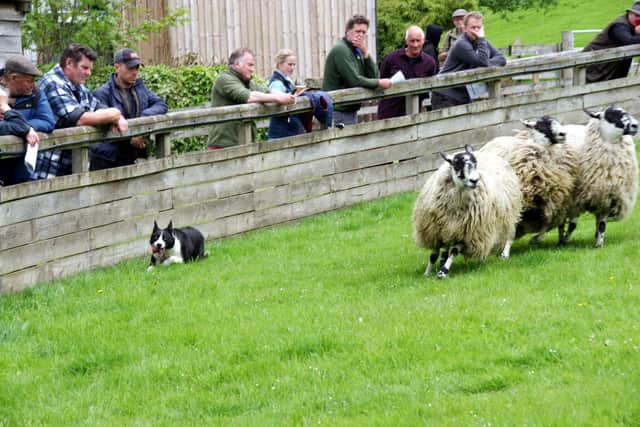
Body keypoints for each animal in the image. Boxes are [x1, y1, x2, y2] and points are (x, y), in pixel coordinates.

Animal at [412, 144, 522, 278]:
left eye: (475, 163)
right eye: (456, 164)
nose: (475, 180)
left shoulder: (466, 234)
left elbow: (454, 251)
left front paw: (442, 272)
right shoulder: (435, 231)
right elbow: (433, 255)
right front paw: (427, 273)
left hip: (509, 214)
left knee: (509, 233)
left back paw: (504, 254)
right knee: (445, 248)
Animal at [560, 106, 639, 247]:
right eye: (611, 115)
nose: (636, 125)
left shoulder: (608, 198)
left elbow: (602, 225)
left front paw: (599, 244)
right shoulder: (575, 201)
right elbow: (573, 225)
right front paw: (564, 241)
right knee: (562, 221)